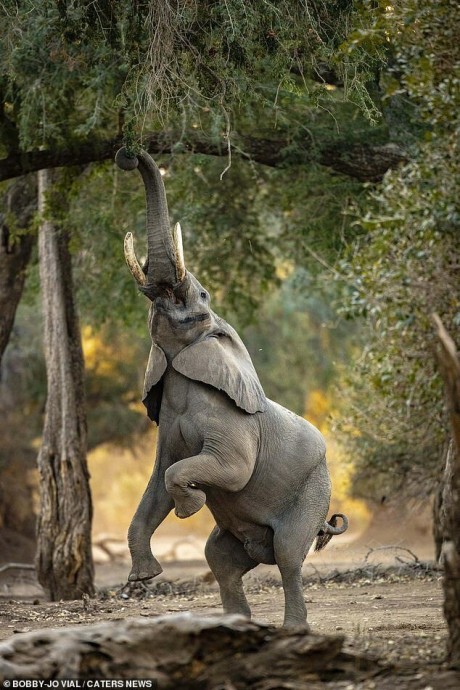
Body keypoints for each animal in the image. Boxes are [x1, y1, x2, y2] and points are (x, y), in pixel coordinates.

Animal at [116, 148, 348, 628]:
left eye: (202, 296)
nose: (125, 155)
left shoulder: (233, 424)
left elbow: (223, 469)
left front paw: (189, 506)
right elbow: (155, 482)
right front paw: (143, 578)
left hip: (313, 492)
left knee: (288, 556)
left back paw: (292, 629)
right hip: (247, 534)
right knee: (220, 558)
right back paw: (236, 625)